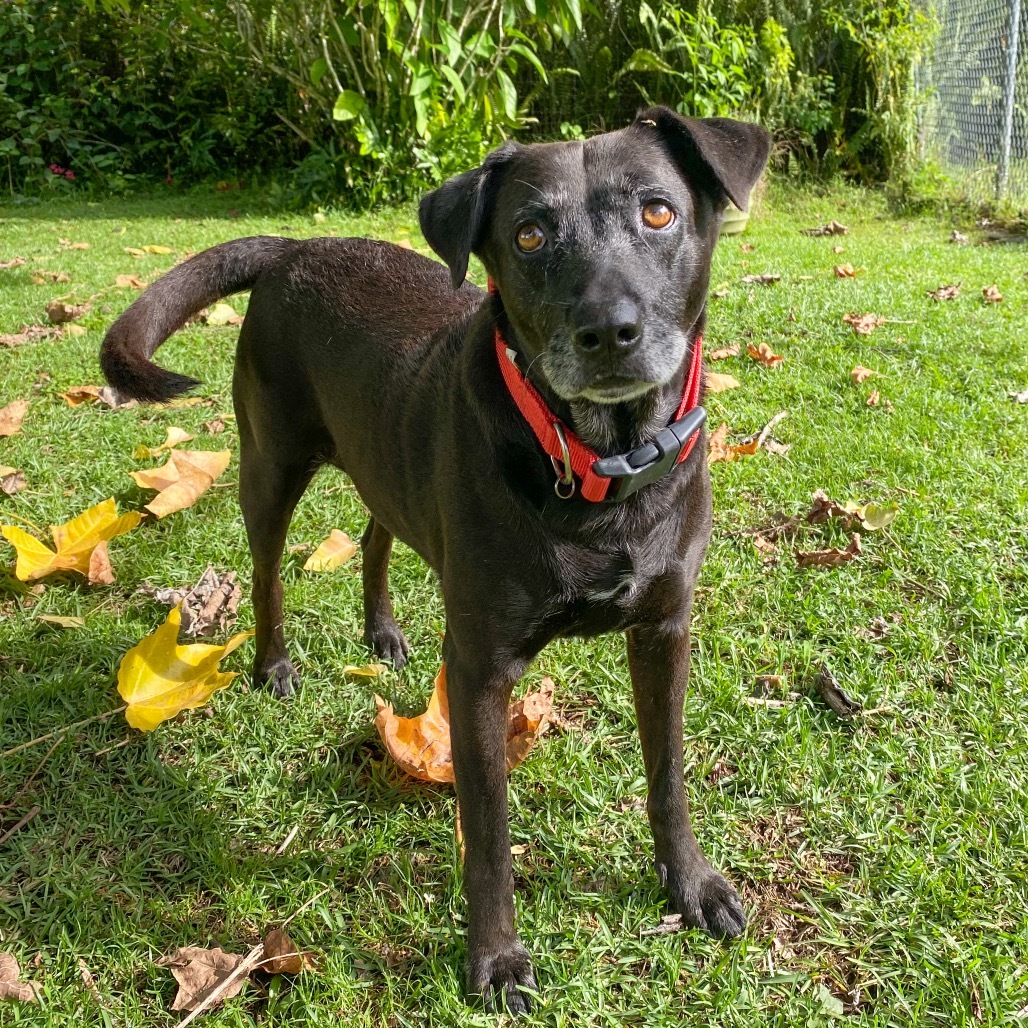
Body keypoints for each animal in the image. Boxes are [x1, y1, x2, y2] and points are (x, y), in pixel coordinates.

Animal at [100, 106, 773, 1011]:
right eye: (529, 235)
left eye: (659, 212)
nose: (607, 331)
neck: (602, 470)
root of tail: (294, 247)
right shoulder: (481, 670)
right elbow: (486, 830)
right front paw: (495, 958)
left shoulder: (665, 630)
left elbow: (668, 776)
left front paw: (691, 885)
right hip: (271, 466)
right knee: (267, 570)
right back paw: (275, 665)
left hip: (389, 462)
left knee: (377, 531)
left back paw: (381, 632)